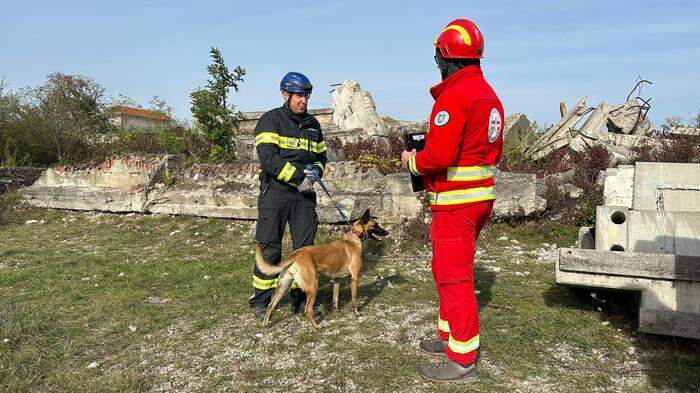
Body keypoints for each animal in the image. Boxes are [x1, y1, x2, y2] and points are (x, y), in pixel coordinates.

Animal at [256, 207, 388, 330]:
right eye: (375, 225)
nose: (387, 232)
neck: (353, 239)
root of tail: (295, 254)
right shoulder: (355, 277)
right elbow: (354, 299)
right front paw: (356, 313)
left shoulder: (336, 280)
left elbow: (335, 298)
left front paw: (336, 311)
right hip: (313, 285)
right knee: (307, 310)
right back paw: (316, 326)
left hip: (284, 286)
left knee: (271, 304)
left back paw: (265, 324)